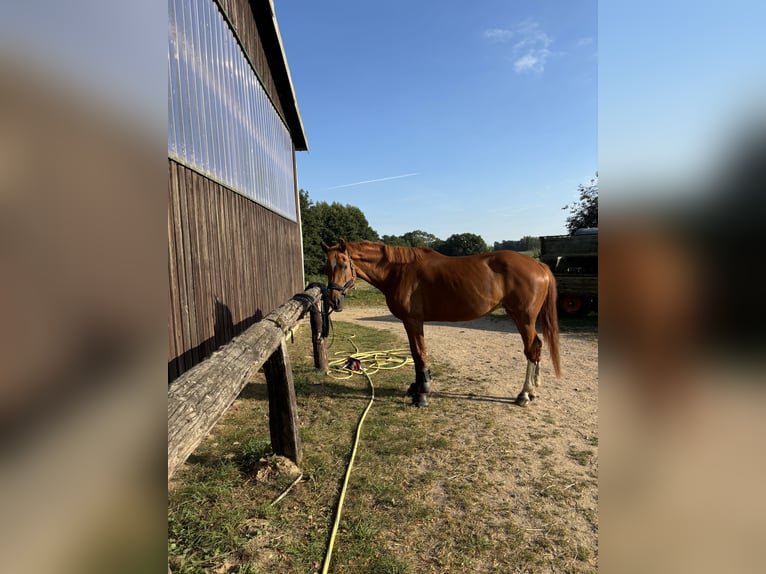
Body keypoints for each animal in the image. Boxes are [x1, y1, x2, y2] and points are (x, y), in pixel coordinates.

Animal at [321, 239, 561, 407]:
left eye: (344, 265)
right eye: (326, 267)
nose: (334, 300)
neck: (399, 271)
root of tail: (539, 265)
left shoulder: (413, 321)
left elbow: (419, 353)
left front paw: (422, 394)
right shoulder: (411, 323)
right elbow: (415, 354)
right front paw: (416, 388)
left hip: (524, 318)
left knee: (531, 350)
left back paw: (524, 395)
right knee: (537, 347)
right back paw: (532, 391)